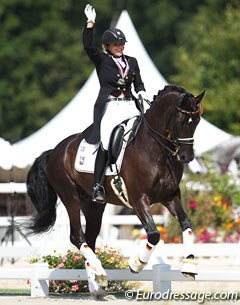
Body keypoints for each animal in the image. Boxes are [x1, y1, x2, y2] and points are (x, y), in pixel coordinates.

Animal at [27, 84, 204, 294]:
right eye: (180, 120)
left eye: (197, 120)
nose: (186, 157)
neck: (156, 149)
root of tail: (55, 151)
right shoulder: (138, 199)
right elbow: (153, 234)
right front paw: (136, 264)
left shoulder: (170, 196)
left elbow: (186, 223)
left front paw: (189, 265)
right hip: (71, 199)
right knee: (77, 236)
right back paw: (100, 273)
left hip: (94, 206)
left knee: (90, 238)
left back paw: (97, 283)